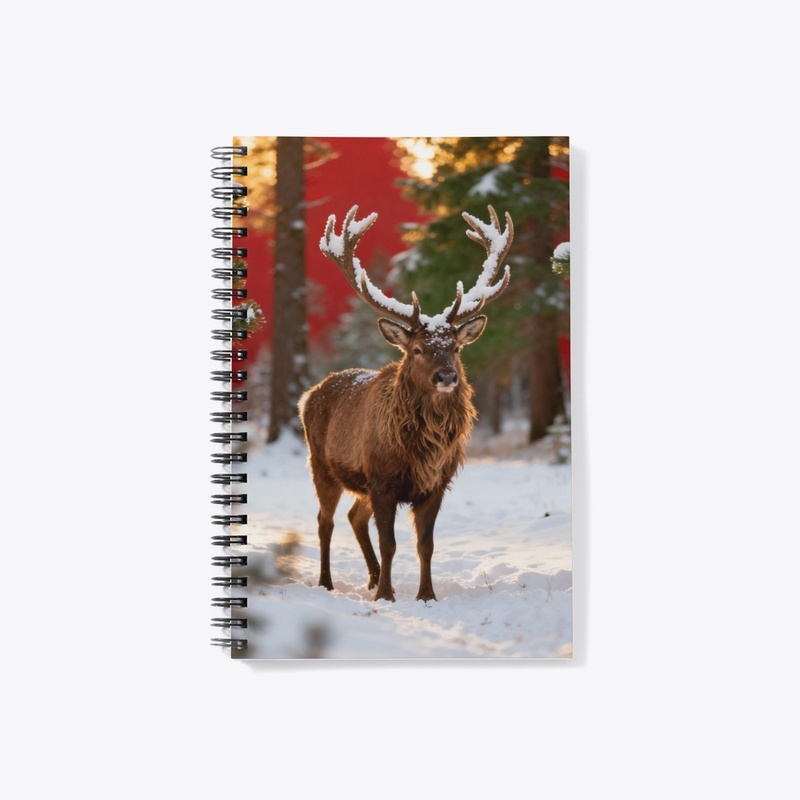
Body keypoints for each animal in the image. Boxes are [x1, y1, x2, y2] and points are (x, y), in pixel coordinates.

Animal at [298, 205, 513, 602]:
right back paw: (328, 582)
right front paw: (386, 595)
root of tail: (310, 393)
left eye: (455, 347)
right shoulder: (383, 480)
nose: (447, 376)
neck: (422, 447)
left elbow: (425, 545)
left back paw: (371, 577)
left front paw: (425, 595)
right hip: (321, 464)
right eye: (417, 349)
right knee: (325, 520)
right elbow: (390, 543)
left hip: (359, 482)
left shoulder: (436, 484)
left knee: (354, 517)